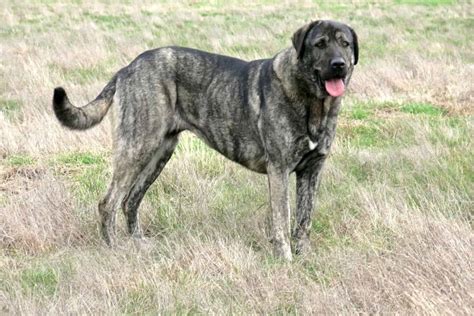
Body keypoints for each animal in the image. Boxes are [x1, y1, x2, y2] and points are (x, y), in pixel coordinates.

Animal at [52, 20, 356, 262]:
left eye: (345, 44)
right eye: (320, 44)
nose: (339, 65)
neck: (313, 102)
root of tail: (127, 68)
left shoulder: (311, 171)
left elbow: (304, 220)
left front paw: (304, 257)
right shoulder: (279, 170)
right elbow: (282, 220)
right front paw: (285, 260)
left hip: (159, 154)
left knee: (131, 200)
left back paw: (140, 245)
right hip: (137, 148)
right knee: (109, 203)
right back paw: (114, 249)